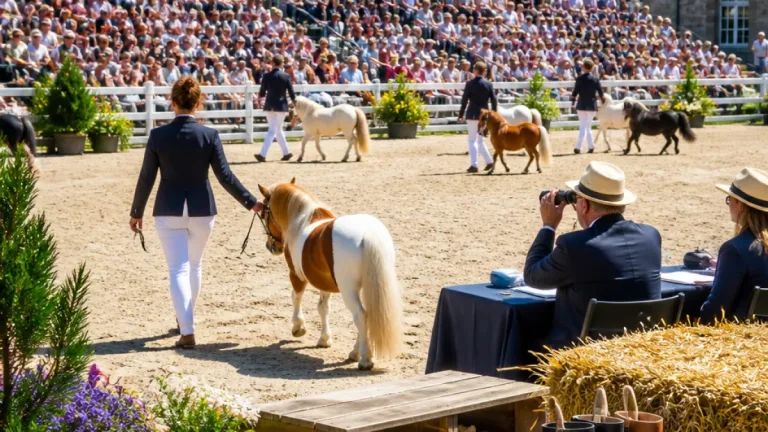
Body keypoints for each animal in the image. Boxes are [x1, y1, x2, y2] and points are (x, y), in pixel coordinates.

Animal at [256, 178, 403, 371]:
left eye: (264, 214)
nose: (271, 247)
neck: (302, 221)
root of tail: (368, 233)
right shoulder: (324, 282)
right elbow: (323, 308)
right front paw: (324, 339)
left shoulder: (296, 275)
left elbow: (296, 297)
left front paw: (298, 327)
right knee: (366, 315)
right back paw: (355, 353)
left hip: (348, 290)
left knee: (360, 315)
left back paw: (365, 359)